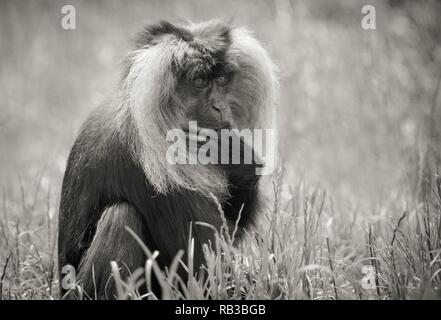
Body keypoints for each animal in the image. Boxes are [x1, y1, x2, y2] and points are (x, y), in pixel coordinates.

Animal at [58, 20, 278, 300]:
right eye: (198, 81)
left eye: (221, 80)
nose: (219, 107)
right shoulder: (156, 167)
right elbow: (204, 268)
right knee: (121, 217)